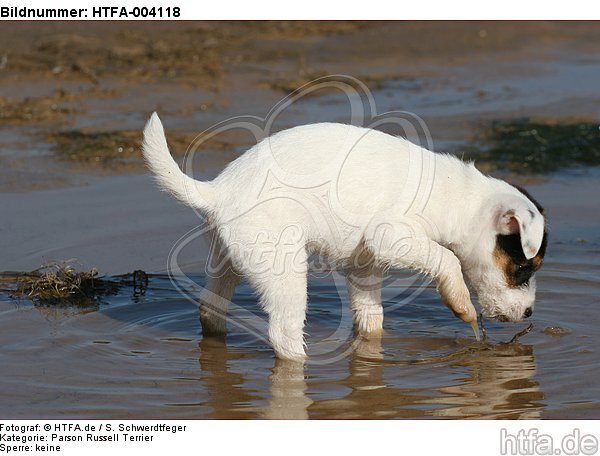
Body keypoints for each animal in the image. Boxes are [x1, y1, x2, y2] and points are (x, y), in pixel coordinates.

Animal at [143, 113, 548, 360]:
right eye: (522, 270)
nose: (530, 313)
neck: (461, 199)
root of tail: (220, 191)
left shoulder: (365, 265)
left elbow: (371, 318)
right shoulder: (391, 235)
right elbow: (446, 258)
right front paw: (462, 304)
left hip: (228, 259)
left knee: (210, 308)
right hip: (284, 272)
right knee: (284, 334)